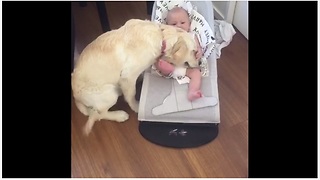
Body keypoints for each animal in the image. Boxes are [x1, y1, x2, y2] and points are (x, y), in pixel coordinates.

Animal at [71, 19, 199, 135]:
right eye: (194, 51)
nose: (200, 64)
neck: (161, 35)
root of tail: (76, 97)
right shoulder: (128, 76)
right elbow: (131, 95)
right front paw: (137, 107)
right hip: (110, 93)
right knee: (99, 114)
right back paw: (119, 115)